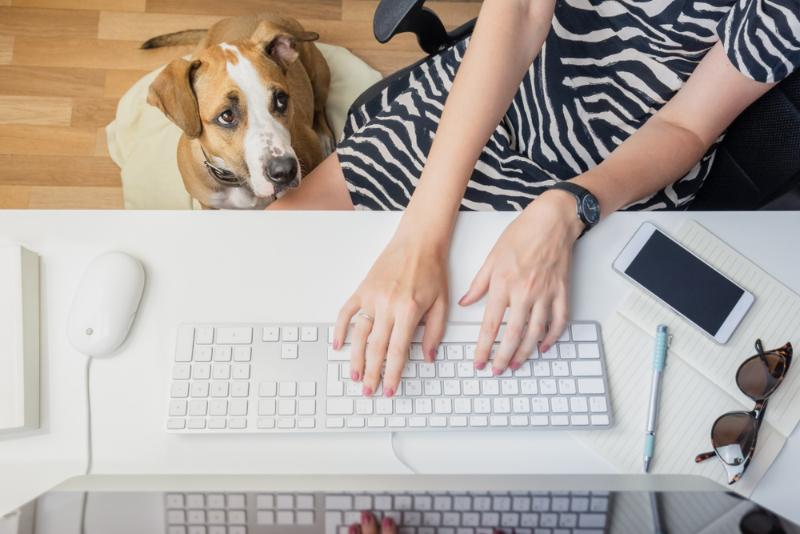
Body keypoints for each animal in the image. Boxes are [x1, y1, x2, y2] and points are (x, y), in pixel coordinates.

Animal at [142, 15, 332, 208]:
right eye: (226, 116)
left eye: (281, 100)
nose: (285, 171)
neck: (238, 181)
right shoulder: (207, 204)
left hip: (319, 74)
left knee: (319, 107)